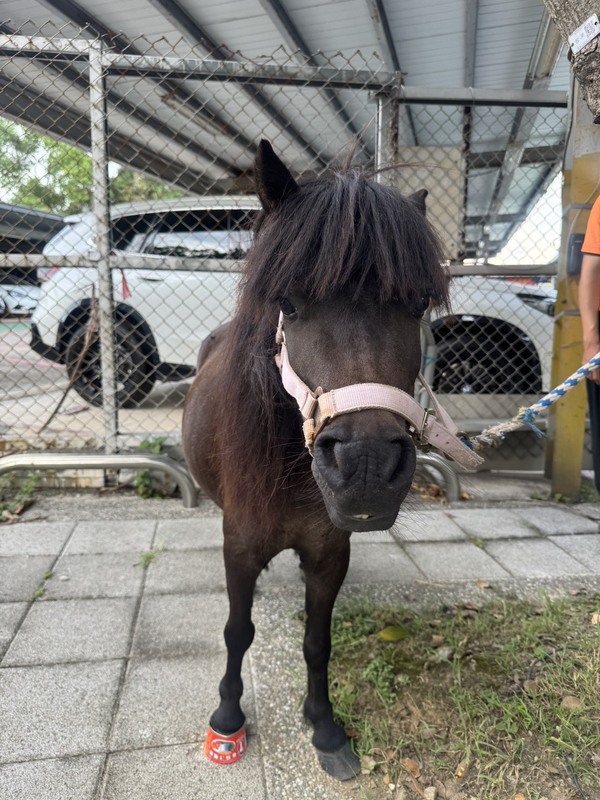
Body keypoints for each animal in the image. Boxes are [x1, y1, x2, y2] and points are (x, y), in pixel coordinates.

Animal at [182, 140, 479, 780]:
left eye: (416, 303)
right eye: (287, 303)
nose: (365, 467)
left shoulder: (329, 549)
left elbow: (318, 640)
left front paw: (324, 726)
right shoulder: (239, 543)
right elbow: (237, 631)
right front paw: (227, 719)